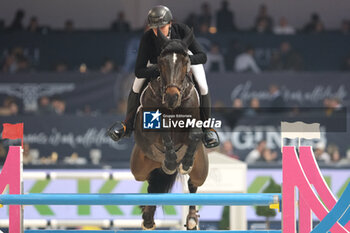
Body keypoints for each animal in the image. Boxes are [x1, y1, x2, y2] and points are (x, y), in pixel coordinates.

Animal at [131, 28, 208, 230]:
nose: (172, 97)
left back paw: (191, 218)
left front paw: (185, 162)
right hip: (139, 168)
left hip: (201, 171)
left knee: (193, 184)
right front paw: (172, 160)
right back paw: (148, 217)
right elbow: (163, 130)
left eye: (186, 62)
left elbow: (195, 133)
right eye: (161, 62)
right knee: (151, 184)